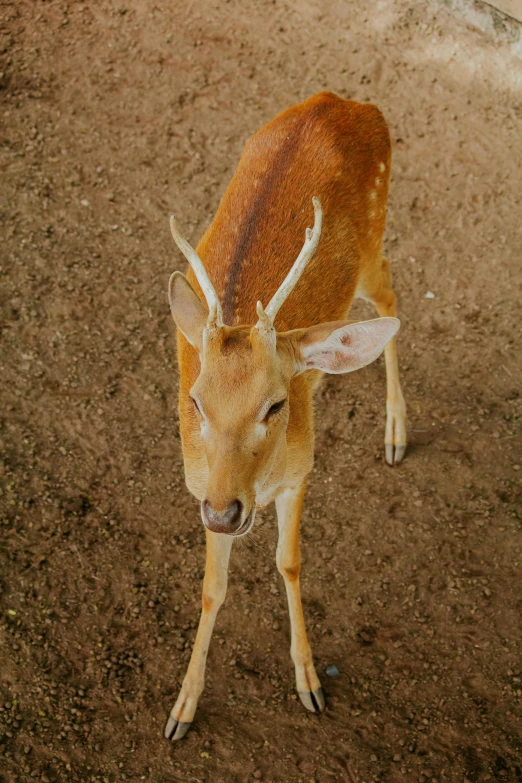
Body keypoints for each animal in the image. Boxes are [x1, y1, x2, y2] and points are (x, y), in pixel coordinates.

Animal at [165, 92, 404, 740]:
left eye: (275, 404)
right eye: (195, 400)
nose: (225, 512)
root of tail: (347, 100)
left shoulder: (302, 471)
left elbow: (290, 563)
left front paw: (310, 683)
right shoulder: (199, 485)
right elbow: (212, 588)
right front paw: (182, 708)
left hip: (373, 242)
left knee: (393, 303)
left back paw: (396, 433)